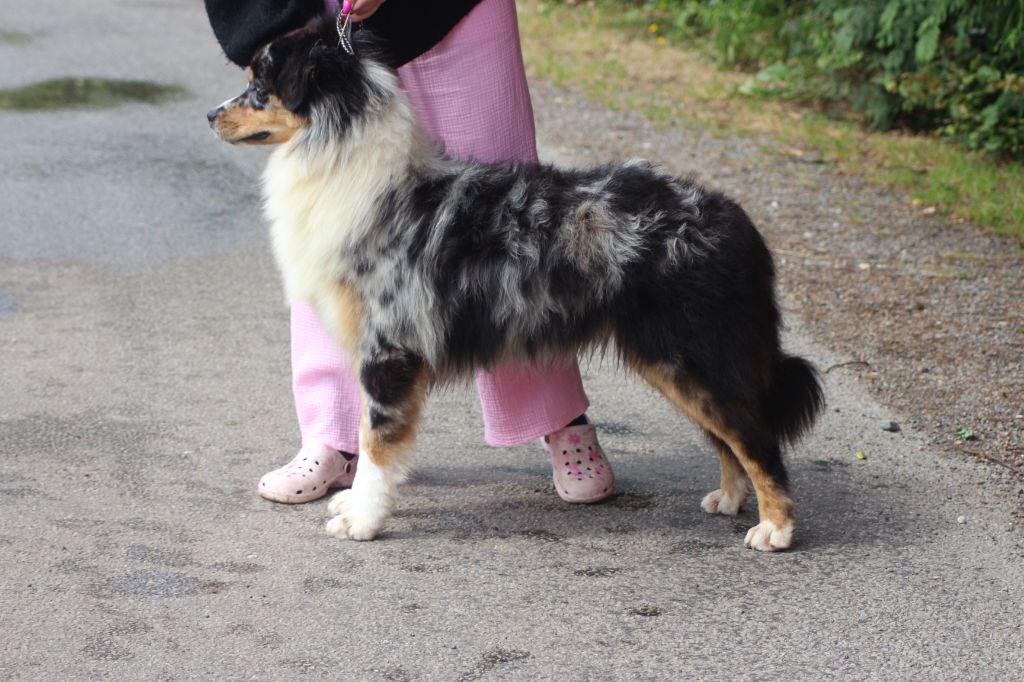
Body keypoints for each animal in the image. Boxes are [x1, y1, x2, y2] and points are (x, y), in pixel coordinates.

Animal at [205, 18, 823, 548]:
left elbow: (376, 443)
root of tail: (734, 217)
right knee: (730, 437)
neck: (345, 158)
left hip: (692, 356)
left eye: (259, 85)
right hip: (679, 362)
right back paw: (730, 497)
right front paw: (354, 503)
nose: (210, 116)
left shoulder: (388, 349)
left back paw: (775, 529)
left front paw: (362, 520)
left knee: (755, 436)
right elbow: (368, 436)